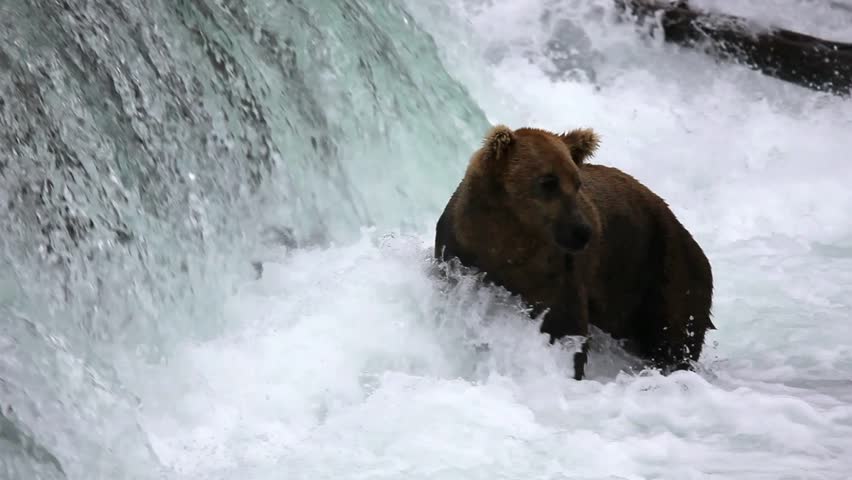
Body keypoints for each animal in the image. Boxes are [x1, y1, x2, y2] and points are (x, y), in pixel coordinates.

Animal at [434, 124, 714, 380]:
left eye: (577, 182)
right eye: (548, 181)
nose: (582, 231)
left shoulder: (554, 277)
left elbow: (565, 330)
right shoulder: (459, 254)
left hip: (664, 276)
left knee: (673, 340)